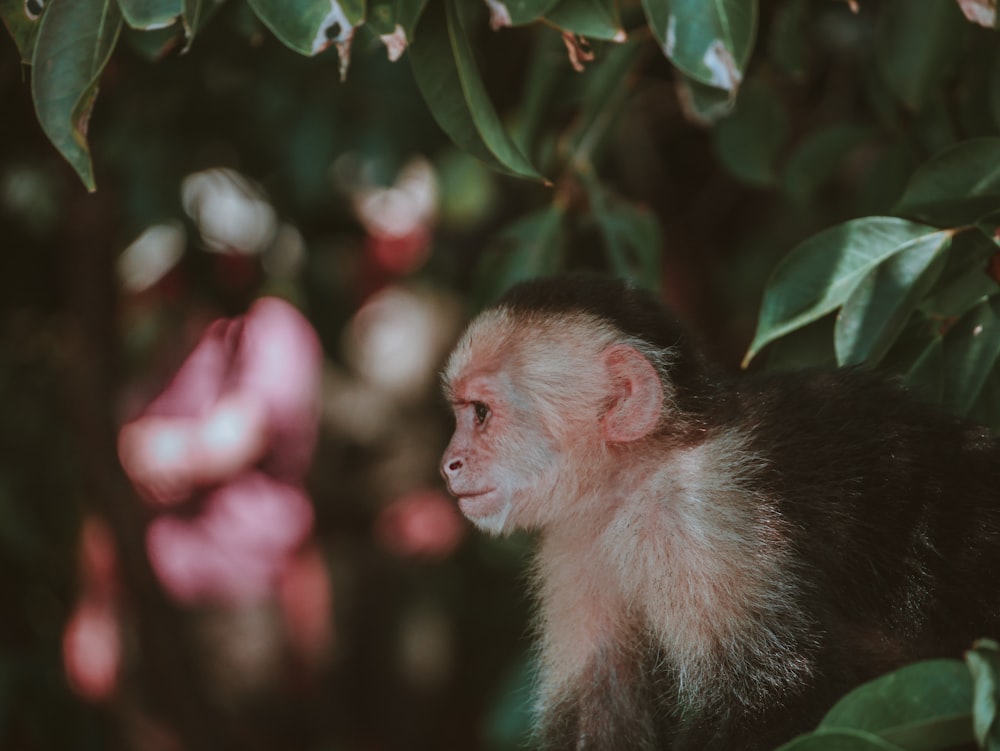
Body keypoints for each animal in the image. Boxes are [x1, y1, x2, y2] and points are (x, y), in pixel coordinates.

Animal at [442, 274, 1000, 751]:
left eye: (481, 414)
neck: (632, 482)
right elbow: (598, 713)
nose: (448, 464)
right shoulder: (573, 542)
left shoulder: (700, 512)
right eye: (460, 413)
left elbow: (778, 691)